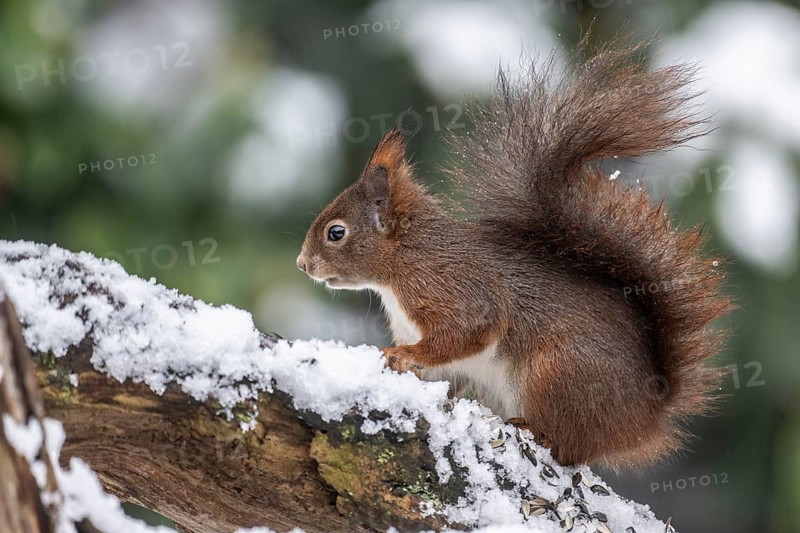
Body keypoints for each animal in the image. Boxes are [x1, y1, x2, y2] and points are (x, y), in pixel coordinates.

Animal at [296, 37, 733, 469]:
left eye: (336, 233)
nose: (302, 264)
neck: (406, 260)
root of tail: (646, 413)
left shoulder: (455, 289)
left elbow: (466, 332)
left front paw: (404, 353)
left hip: (557, 375)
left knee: (570, 447)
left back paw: (536, 430)